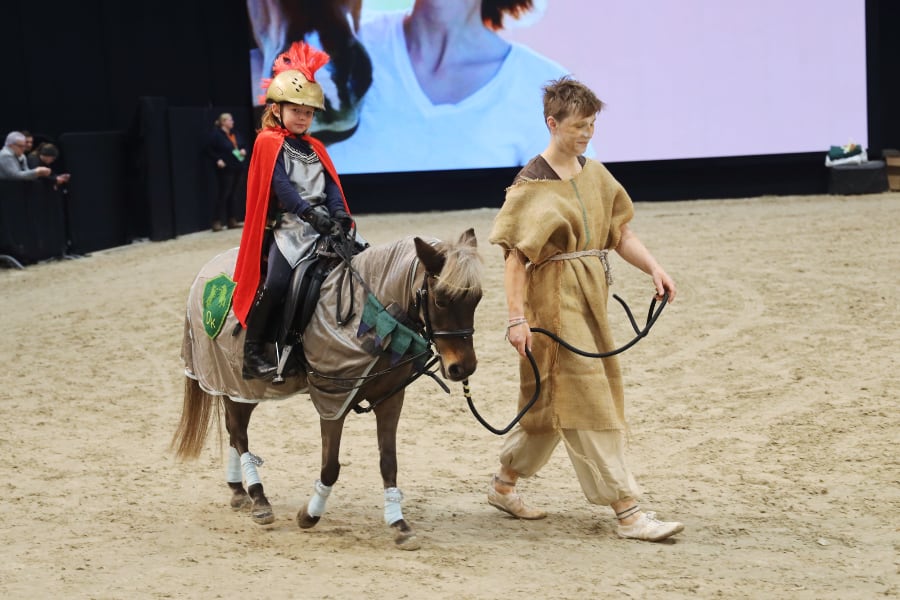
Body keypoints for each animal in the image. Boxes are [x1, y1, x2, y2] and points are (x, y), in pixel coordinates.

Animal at [171, 229, 482, 550]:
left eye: (477, 299)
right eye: (441, 300)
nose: (463, 368)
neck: (370, 315)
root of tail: (209, 270)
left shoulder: (391, 398)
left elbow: (388, 462)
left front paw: (399, 524)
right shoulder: (332, 400)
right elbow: (330, 466)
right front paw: (309, 515)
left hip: (244, 386)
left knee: (235, 429)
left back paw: (238, 490)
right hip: (232, 375)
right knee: (238, 432)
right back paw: (258, 498)